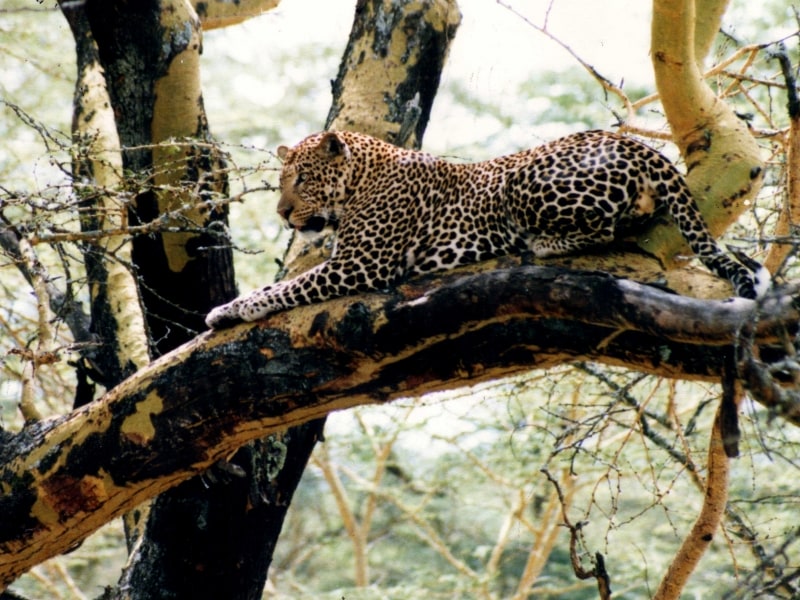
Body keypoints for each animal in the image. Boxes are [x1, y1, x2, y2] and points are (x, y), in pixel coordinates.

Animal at [205, 130, 769, 329]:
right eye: (284, 181)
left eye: (301, 179)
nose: (282, 214)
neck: (360, 180)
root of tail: (636, 144)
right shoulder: (349, 259)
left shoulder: (363, 263)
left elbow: (284, 287)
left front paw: (229, 310)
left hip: (524, 180)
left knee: (606, 227)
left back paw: (543, 240)